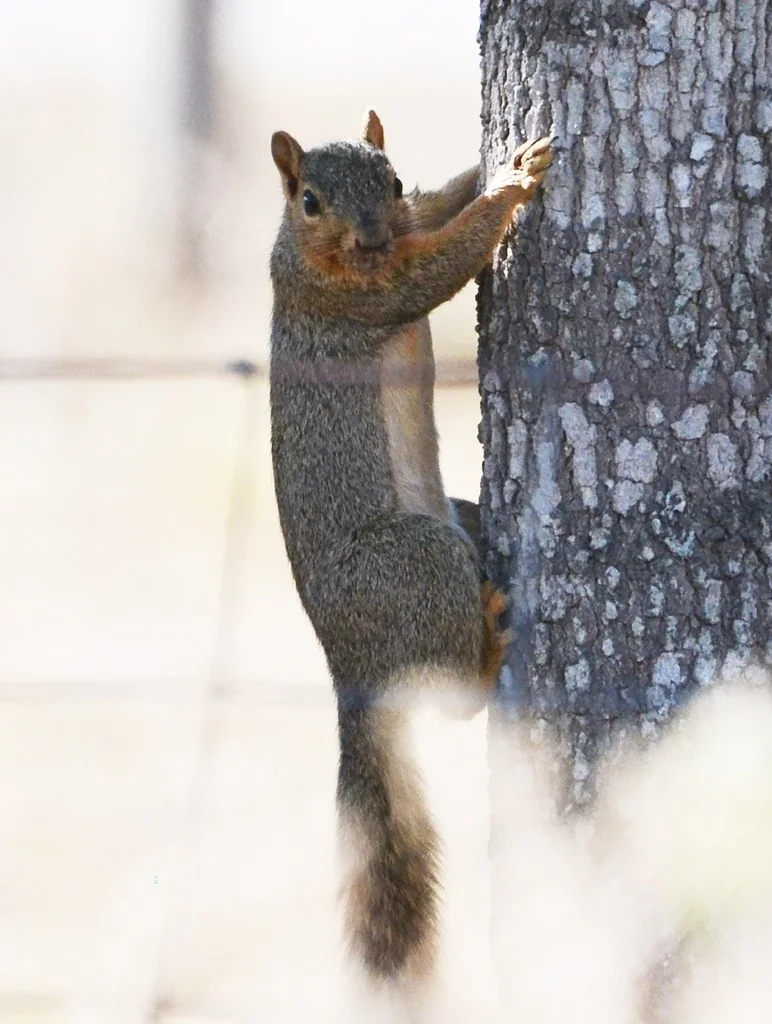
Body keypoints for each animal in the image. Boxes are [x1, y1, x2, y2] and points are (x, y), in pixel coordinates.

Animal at [269, 110, 553, 991]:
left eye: (390, 181)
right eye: (309, 199)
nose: (369, 238)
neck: (312, 257)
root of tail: (349, 668)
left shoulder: (408, 226)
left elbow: (437, 210)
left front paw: (488, 170)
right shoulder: (357, 296)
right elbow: (439, 266)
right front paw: (512, 186)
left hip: (456, 523)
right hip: (417, 560)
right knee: (456, 697)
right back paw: (491, 649)